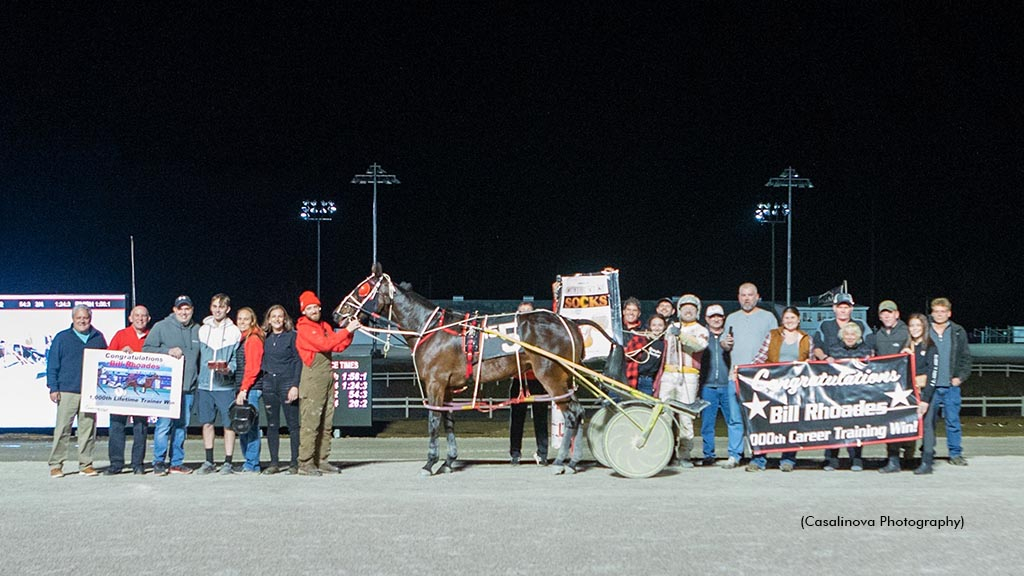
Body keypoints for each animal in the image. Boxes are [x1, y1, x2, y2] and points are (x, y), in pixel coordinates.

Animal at [335, 266, 622, 475]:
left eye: (362, 288)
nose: (338, 314)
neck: (432, 329)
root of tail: (569, 322)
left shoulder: (435, 383)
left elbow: (433, 422)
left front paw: (430, 463)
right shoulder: (447, 387)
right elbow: (448, 421)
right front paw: (449, 461)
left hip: (552, 377)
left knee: (573, 414)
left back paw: (565, 462)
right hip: (563, 377)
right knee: (578, 413)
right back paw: (569, 461)